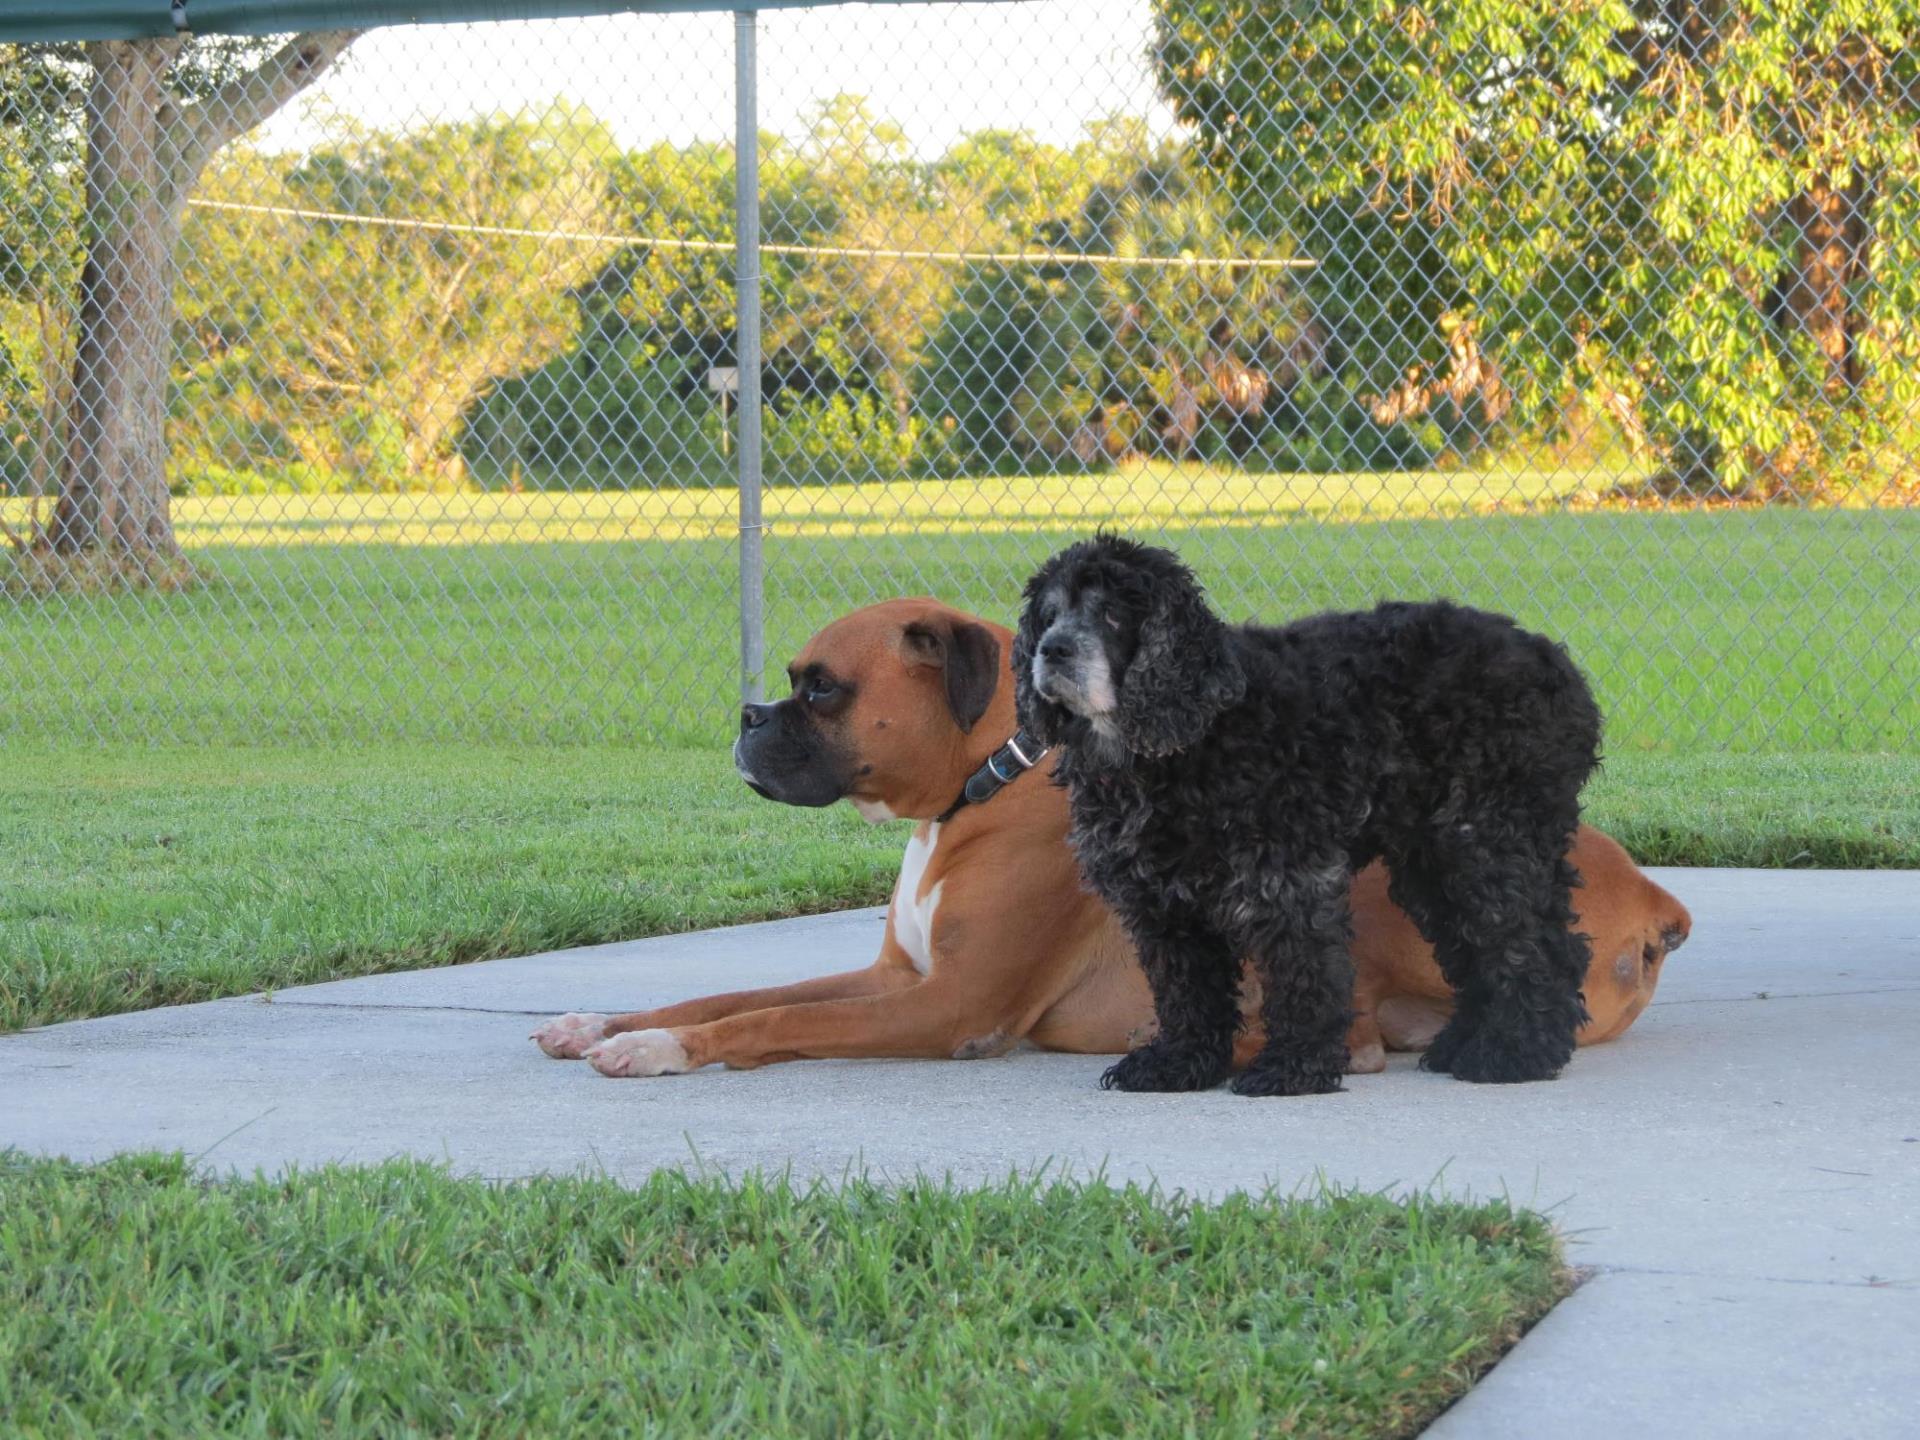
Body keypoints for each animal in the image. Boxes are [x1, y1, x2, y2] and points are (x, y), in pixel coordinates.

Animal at [533, 599, 1689, 1082]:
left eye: (821, 690)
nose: (744, 716)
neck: (983, 787)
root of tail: (1649, 893)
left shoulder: (948, 1009)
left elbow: (767, 1022)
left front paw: (664, 1053)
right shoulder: (892, 980)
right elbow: (728, 993)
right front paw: (608, 1023)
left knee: (1358, 1020)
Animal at [1021, 537, 1605, 1090]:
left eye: (1112, 614)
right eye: (1049, 615)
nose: (1053, 650)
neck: (1189, 738)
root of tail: (1561, 668)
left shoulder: (1288, 879)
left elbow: (1304, 974)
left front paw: (1293, 1067)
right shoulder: (1164, 903)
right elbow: (1186, 989)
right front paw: (1179, 1063)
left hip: (1486, 841)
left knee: (1535, 946)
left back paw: (1516, 1052)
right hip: (1432, 862)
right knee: (1480, 950)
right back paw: (1464, 1043)